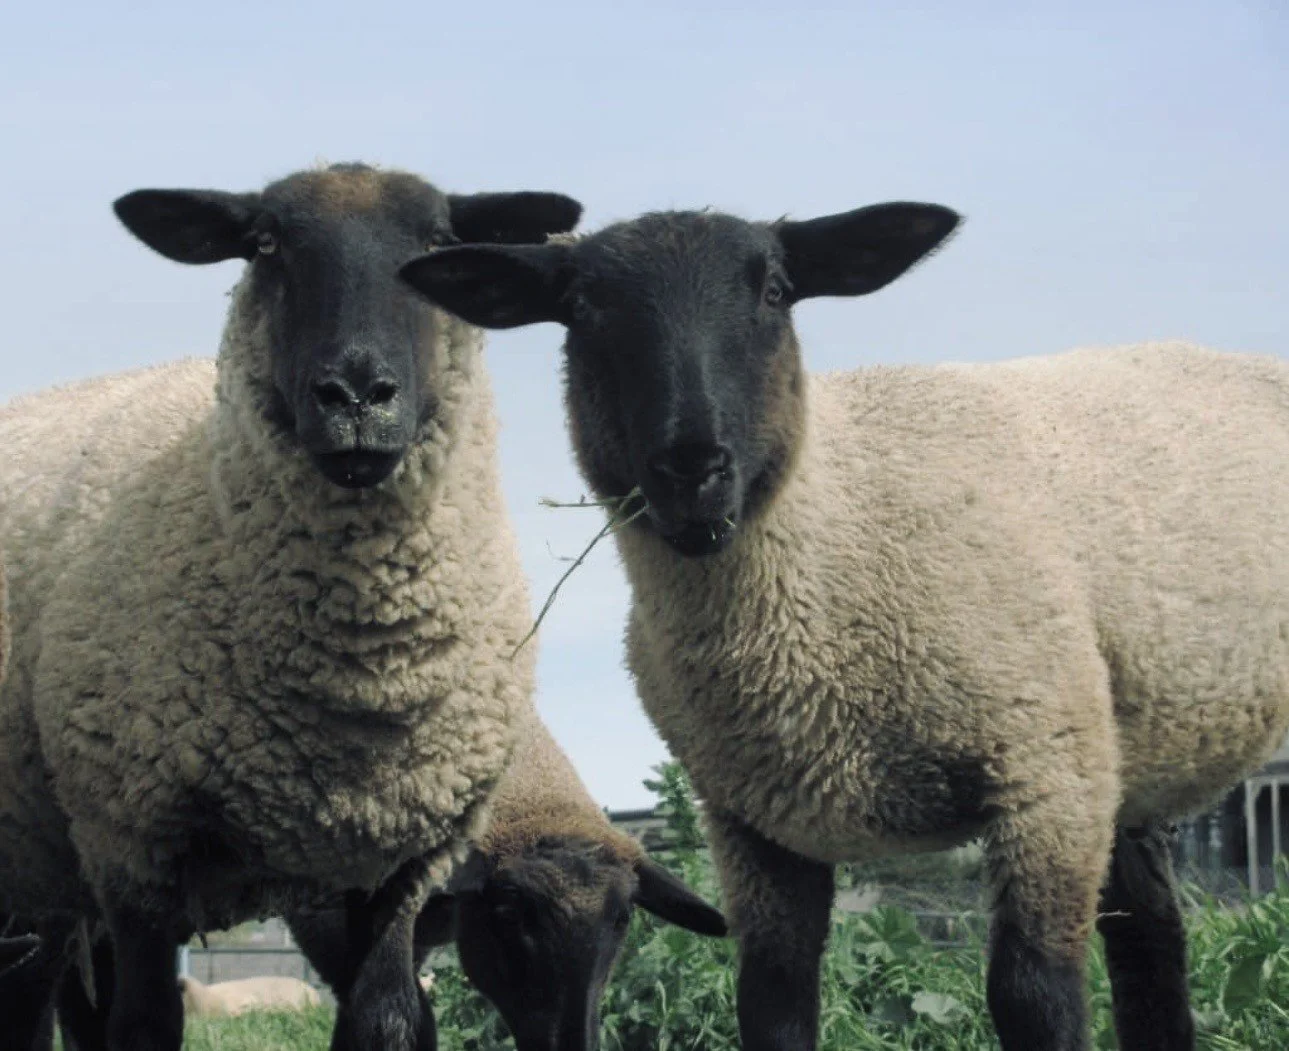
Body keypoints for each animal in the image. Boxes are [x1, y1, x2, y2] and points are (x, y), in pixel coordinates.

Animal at [397, 205, 1289, 1051]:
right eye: (580, 306)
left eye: (773, 291)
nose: (692, 467)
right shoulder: (753, 824)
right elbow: (772, 1004)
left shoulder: (1044, 777)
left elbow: (1034, 997)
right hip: (1123, 761)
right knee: (1152, 943)